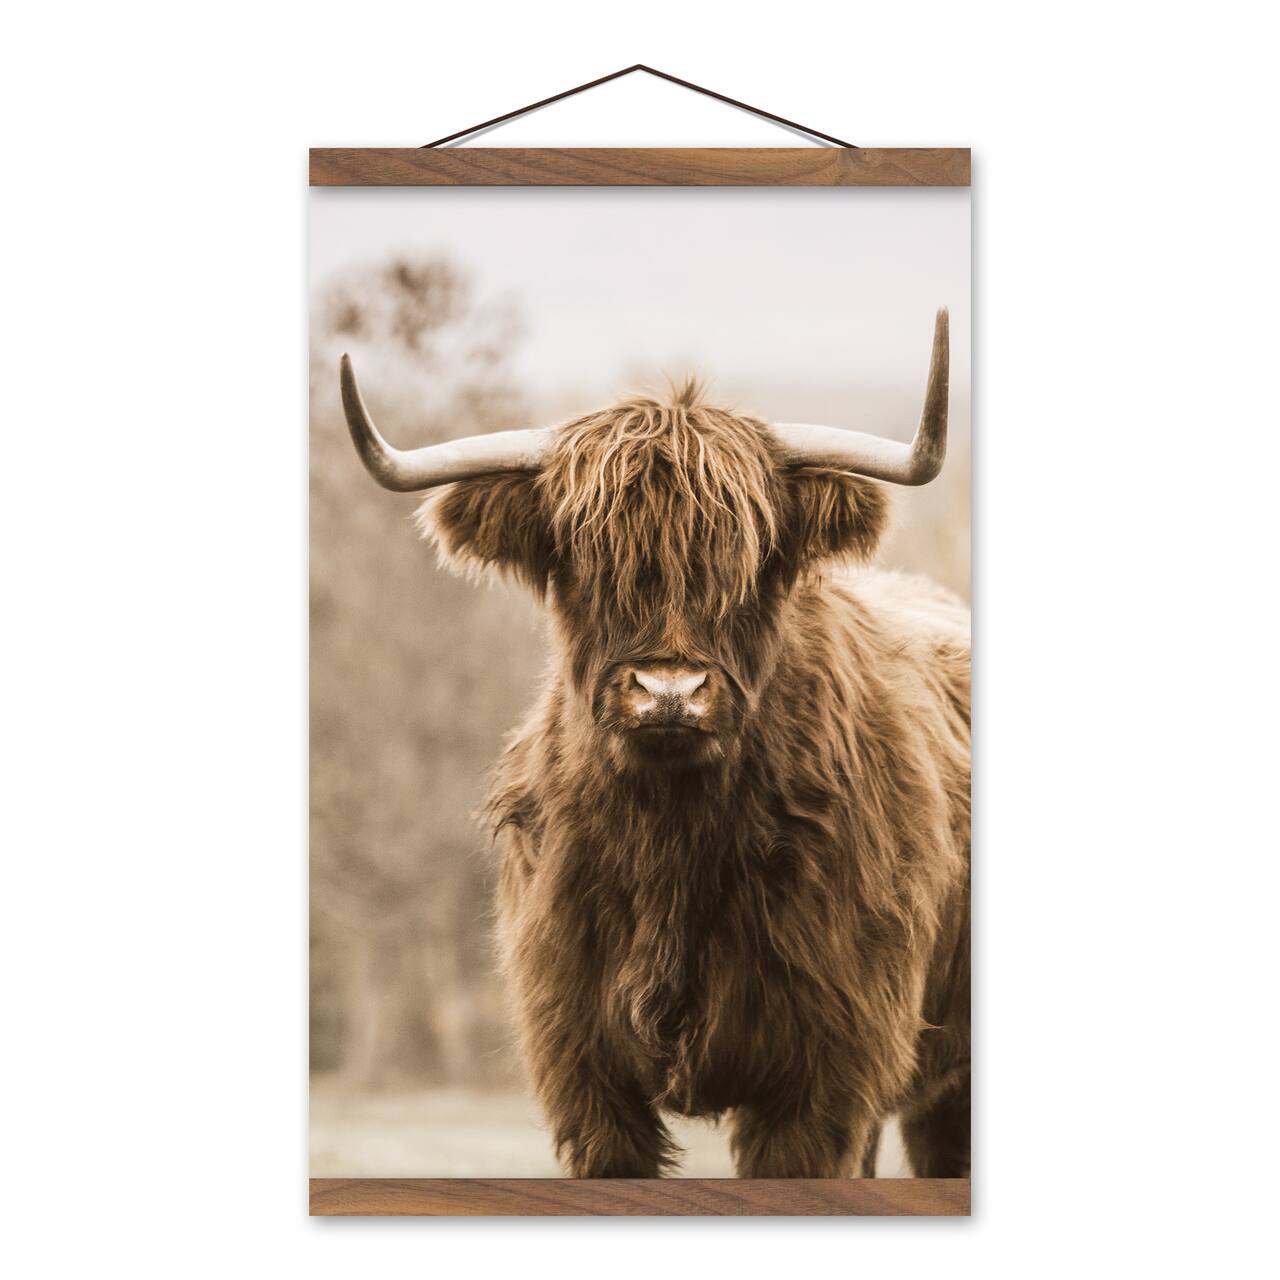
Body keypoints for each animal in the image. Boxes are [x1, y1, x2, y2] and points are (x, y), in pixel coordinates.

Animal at [339, 309, 970, 1179]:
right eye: (583, 558)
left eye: (753, 559)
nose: (669, 691)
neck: (673, 841)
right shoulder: (582, 1072)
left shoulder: (827, 1076)